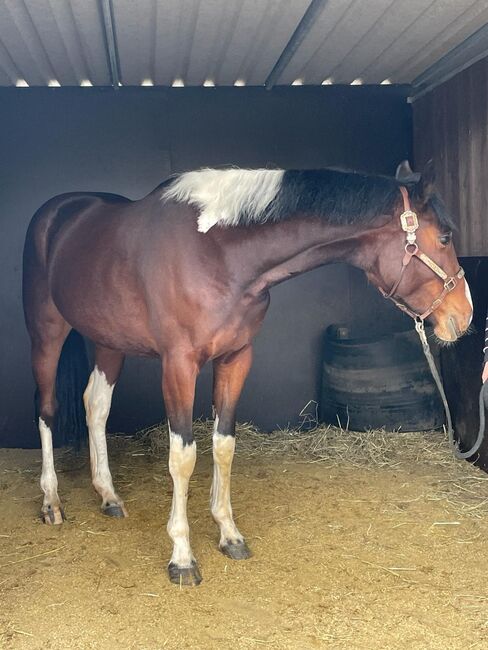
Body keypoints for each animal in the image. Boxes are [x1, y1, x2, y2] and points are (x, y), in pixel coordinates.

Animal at [21, 161, 472, 584]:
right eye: (445, 238)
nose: (464, 316)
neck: (218, 252)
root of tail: (56, 213)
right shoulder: (179, 364)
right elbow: (183, 456)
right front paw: (182, 557)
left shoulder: (236, 358)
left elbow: (224, 445)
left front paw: (228, 533)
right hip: (47, 333)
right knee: (47, 408)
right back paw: (51, 502)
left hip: (109, 342)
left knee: (95, 406)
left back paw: (109, 496)